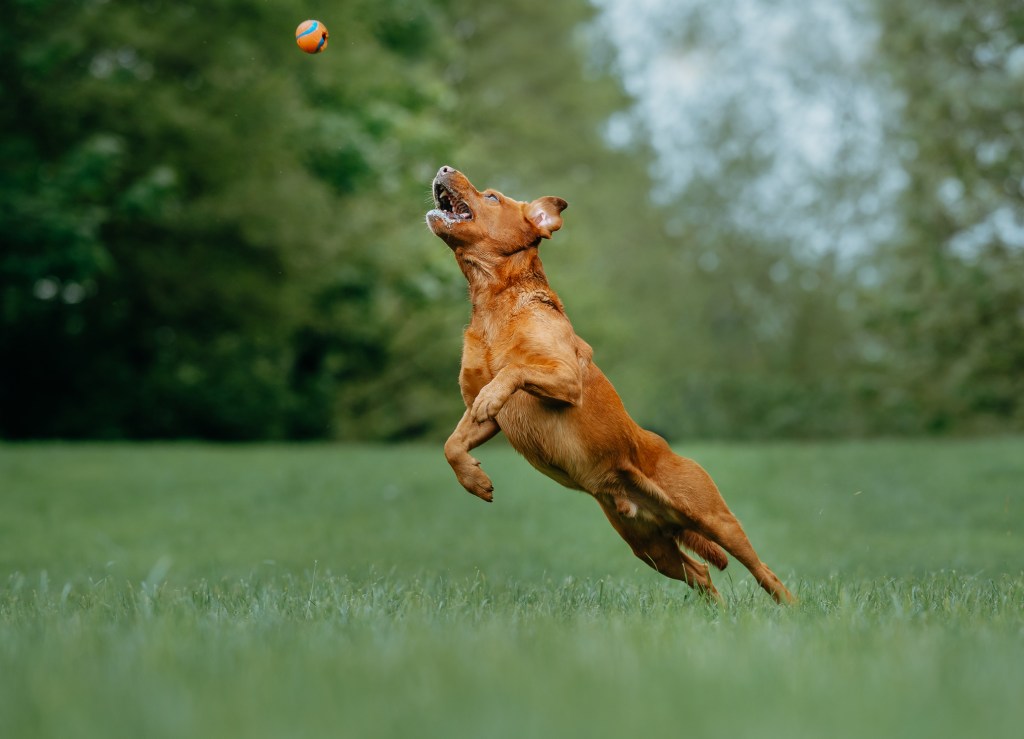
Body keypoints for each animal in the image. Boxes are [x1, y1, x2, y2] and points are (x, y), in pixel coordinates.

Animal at [423, 163, 790, 601]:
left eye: (492, 196)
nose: (444, 167)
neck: (493, 304)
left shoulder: (565, 377)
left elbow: (513, 372)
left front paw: (495, 398)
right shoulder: (483, 412)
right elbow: (452, 444)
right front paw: (474, 480)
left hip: (714, 518)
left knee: (765, 572)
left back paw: (789, 607)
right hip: (648, 547)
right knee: (701, 573)